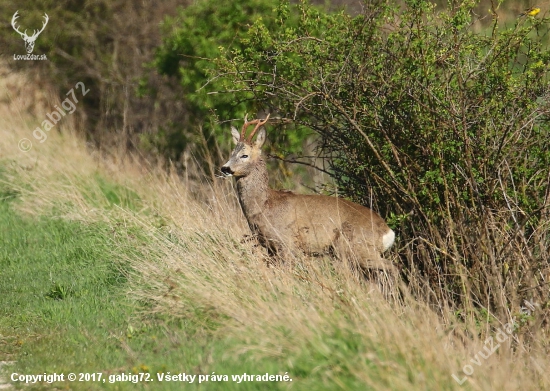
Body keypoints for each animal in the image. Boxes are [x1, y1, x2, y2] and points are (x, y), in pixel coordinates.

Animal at [222, 113, 398, 272]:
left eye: (244, 155)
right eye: (231, 153)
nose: (225, 168)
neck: (265, 205)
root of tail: (388, 232)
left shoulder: (286, 243)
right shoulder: (269, 246)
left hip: (356, 248)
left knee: (393, 268)